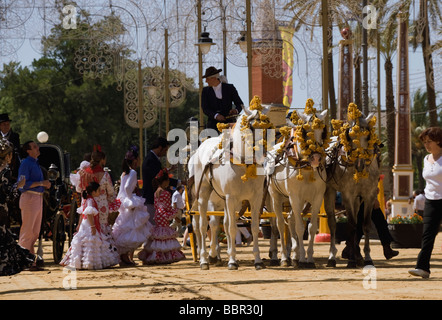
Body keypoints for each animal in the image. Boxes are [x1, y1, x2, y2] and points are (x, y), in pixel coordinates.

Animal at [189, 98, 272, 270]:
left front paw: (257, 260)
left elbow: (254, 227)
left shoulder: (255, 199)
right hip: (203, 195)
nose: (263, 155)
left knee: (222, 224)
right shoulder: (231, 197)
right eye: (252, 127)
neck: (243, 163)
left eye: (268, 127)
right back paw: (204, 259)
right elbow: (232, 228)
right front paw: (232, 261)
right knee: (202, 225)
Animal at [266, 104, 328, 268]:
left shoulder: (316, 198)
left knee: (290, 219)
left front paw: (309, 258)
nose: (316, 158)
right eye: (305, 131)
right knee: (280, 224)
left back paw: (293, 254)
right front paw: (302, 260)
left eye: (323, 132)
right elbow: (300, 228)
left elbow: (311, 228)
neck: (305, 167)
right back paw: (283, 257)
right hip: (276, 196)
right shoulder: (294, 196)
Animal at [322, 105, 382, 268]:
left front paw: (366, 257)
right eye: (349, 136)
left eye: (367, 136)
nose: (360, 164)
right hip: (329, 191)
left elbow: (365, 225)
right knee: (332, 223)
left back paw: (357, 254)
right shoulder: (347, 195)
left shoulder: (369, 195)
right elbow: (351, 225)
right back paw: (331, 257)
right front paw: (351, 260)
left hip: (357, 198)